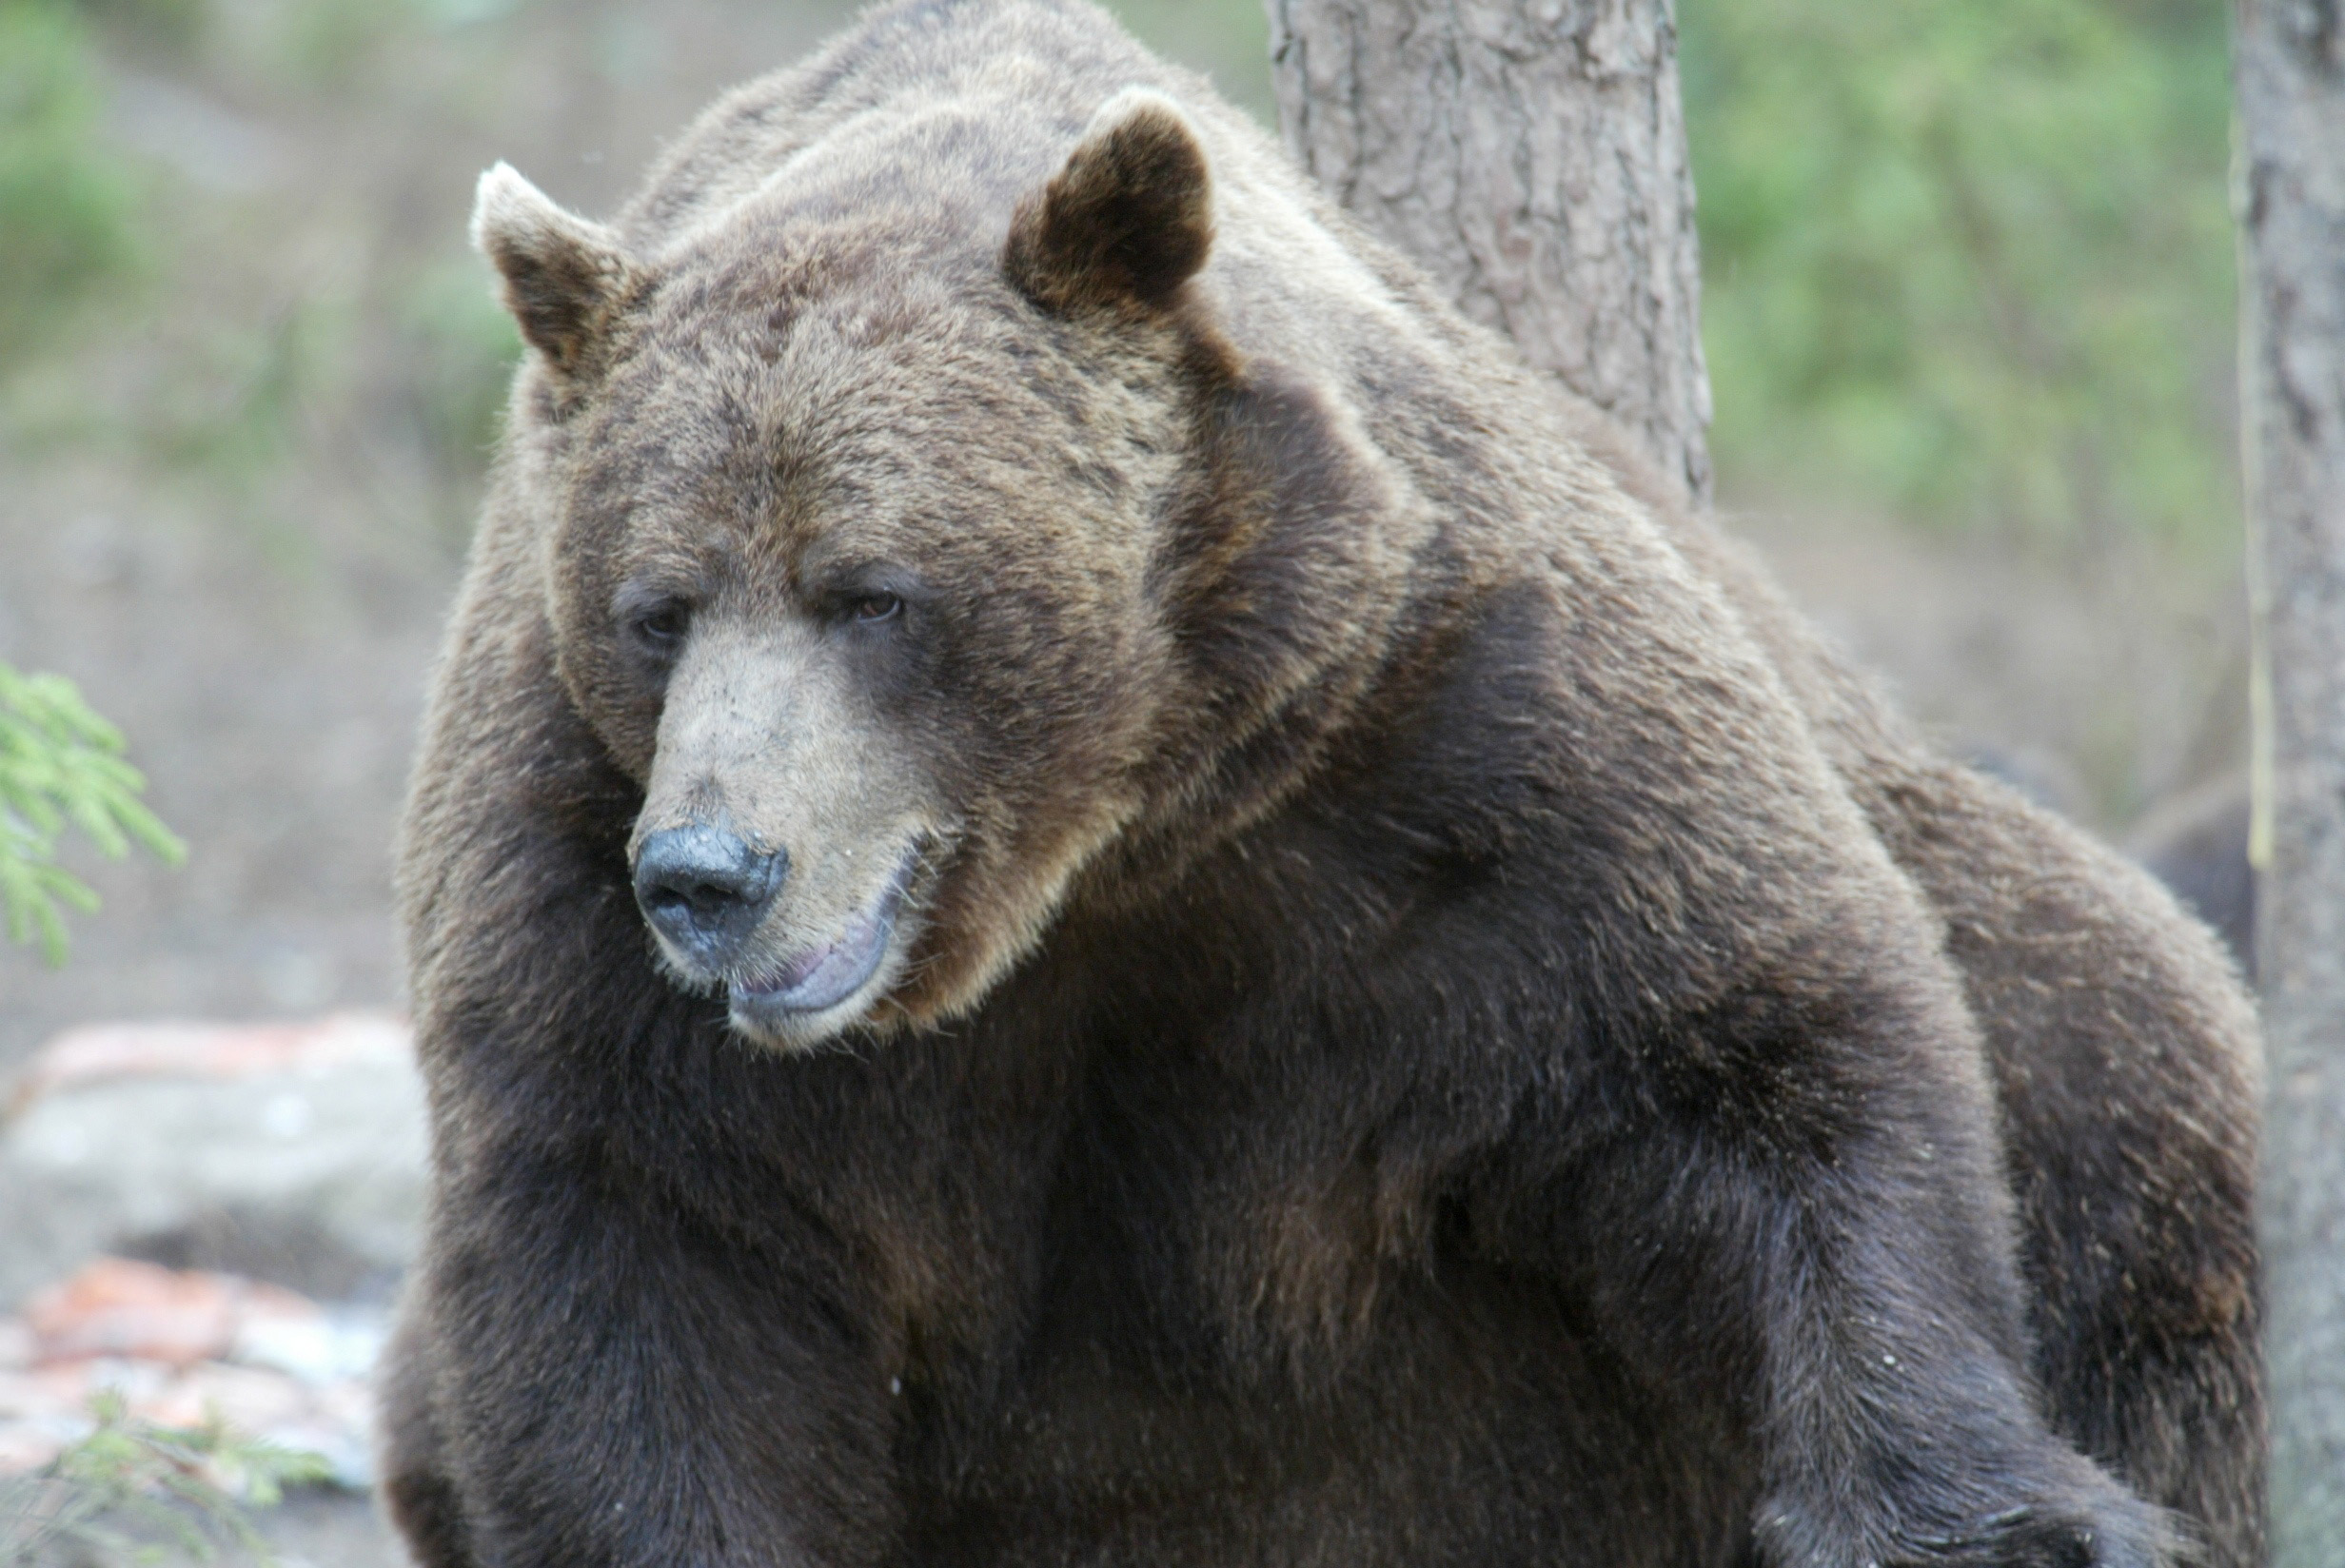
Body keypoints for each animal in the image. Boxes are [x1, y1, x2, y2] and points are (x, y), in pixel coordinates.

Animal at [389, 3, 2270, 1565]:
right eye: (656, 606)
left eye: (875, 592)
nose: (710, 875)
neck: (1104, 856)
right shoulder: (574, 863)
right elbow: (638, 1256)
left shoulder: (1454, 749)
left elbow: (1755, 1035)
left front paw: (1983, 1523)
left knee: (2130, 1070)